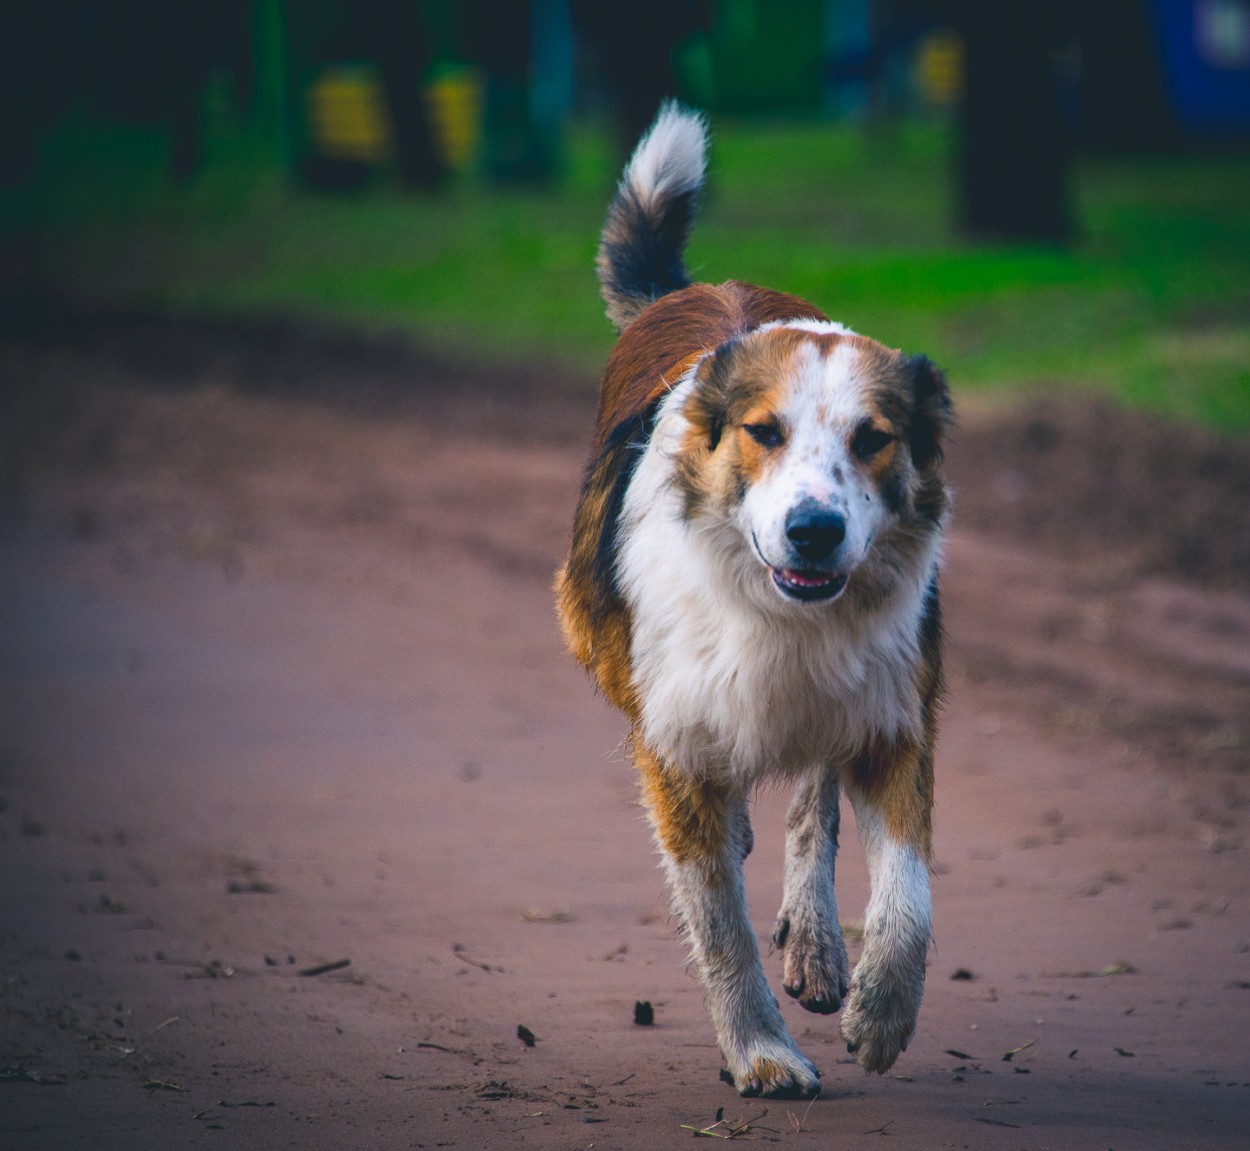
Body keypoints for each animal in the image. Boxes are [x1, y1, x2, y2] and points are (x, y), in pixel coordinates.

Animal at [555, 105, 945, 1094]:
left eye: (873, 438)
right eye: (763, 433)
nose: (814, 530)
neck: (782, 612)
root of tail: (705, 290)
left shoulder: (894, 709)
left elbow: (910, 895)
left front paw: (881, 1014)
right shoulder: (674, 731)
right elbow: (717, 919)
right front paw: (761, 1050)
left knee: (815, 799)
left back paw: (815, 940)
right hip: (596, 635)